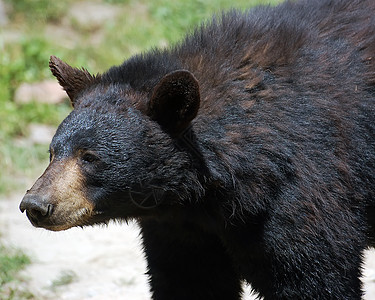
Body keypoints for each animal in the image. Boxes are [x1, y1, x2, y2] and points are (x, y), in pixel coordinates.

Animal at [20, 0, 375, 298]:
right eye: (52, 152)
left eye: (90, 157)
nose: (34, 205)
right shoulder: (181, 228)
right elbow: (189, 280)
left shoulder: (303, 193)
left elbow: (312, 276)